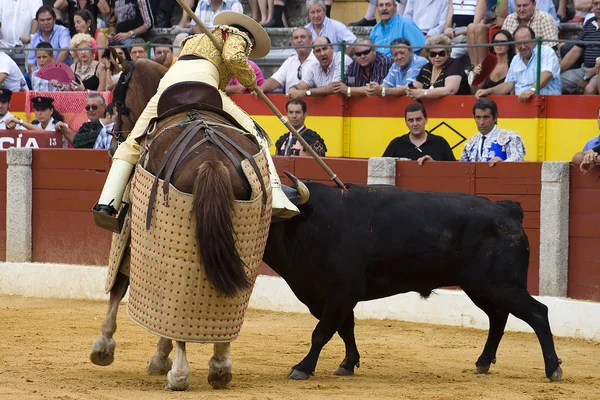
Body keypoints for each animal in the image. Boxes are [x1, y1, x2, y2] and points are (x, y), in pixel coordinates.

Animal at [89, 57, 298, 390]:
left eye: (118, 102)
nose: (112, 144)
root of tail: (211, 161)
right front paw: (160, 356)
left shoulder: (130, 227)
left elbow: (120, 284)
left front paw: (104, 347)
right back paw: (220, 366)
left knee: (179, 309)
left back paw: (179, 374)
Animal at [262, 181, 564, 382]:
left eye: (275, 212)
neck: (311, 223)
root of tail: (505, 209)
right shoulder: (321, 296)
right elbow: (344, 329)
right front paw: (348, 364)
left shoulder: (341, 293)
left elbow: (322, 332)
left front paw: (302, 368)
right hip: (479, 287)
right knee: (498, 316)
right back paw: (483, 362)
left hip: (503, 285)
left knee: (537, 313)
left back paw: (553, 369)